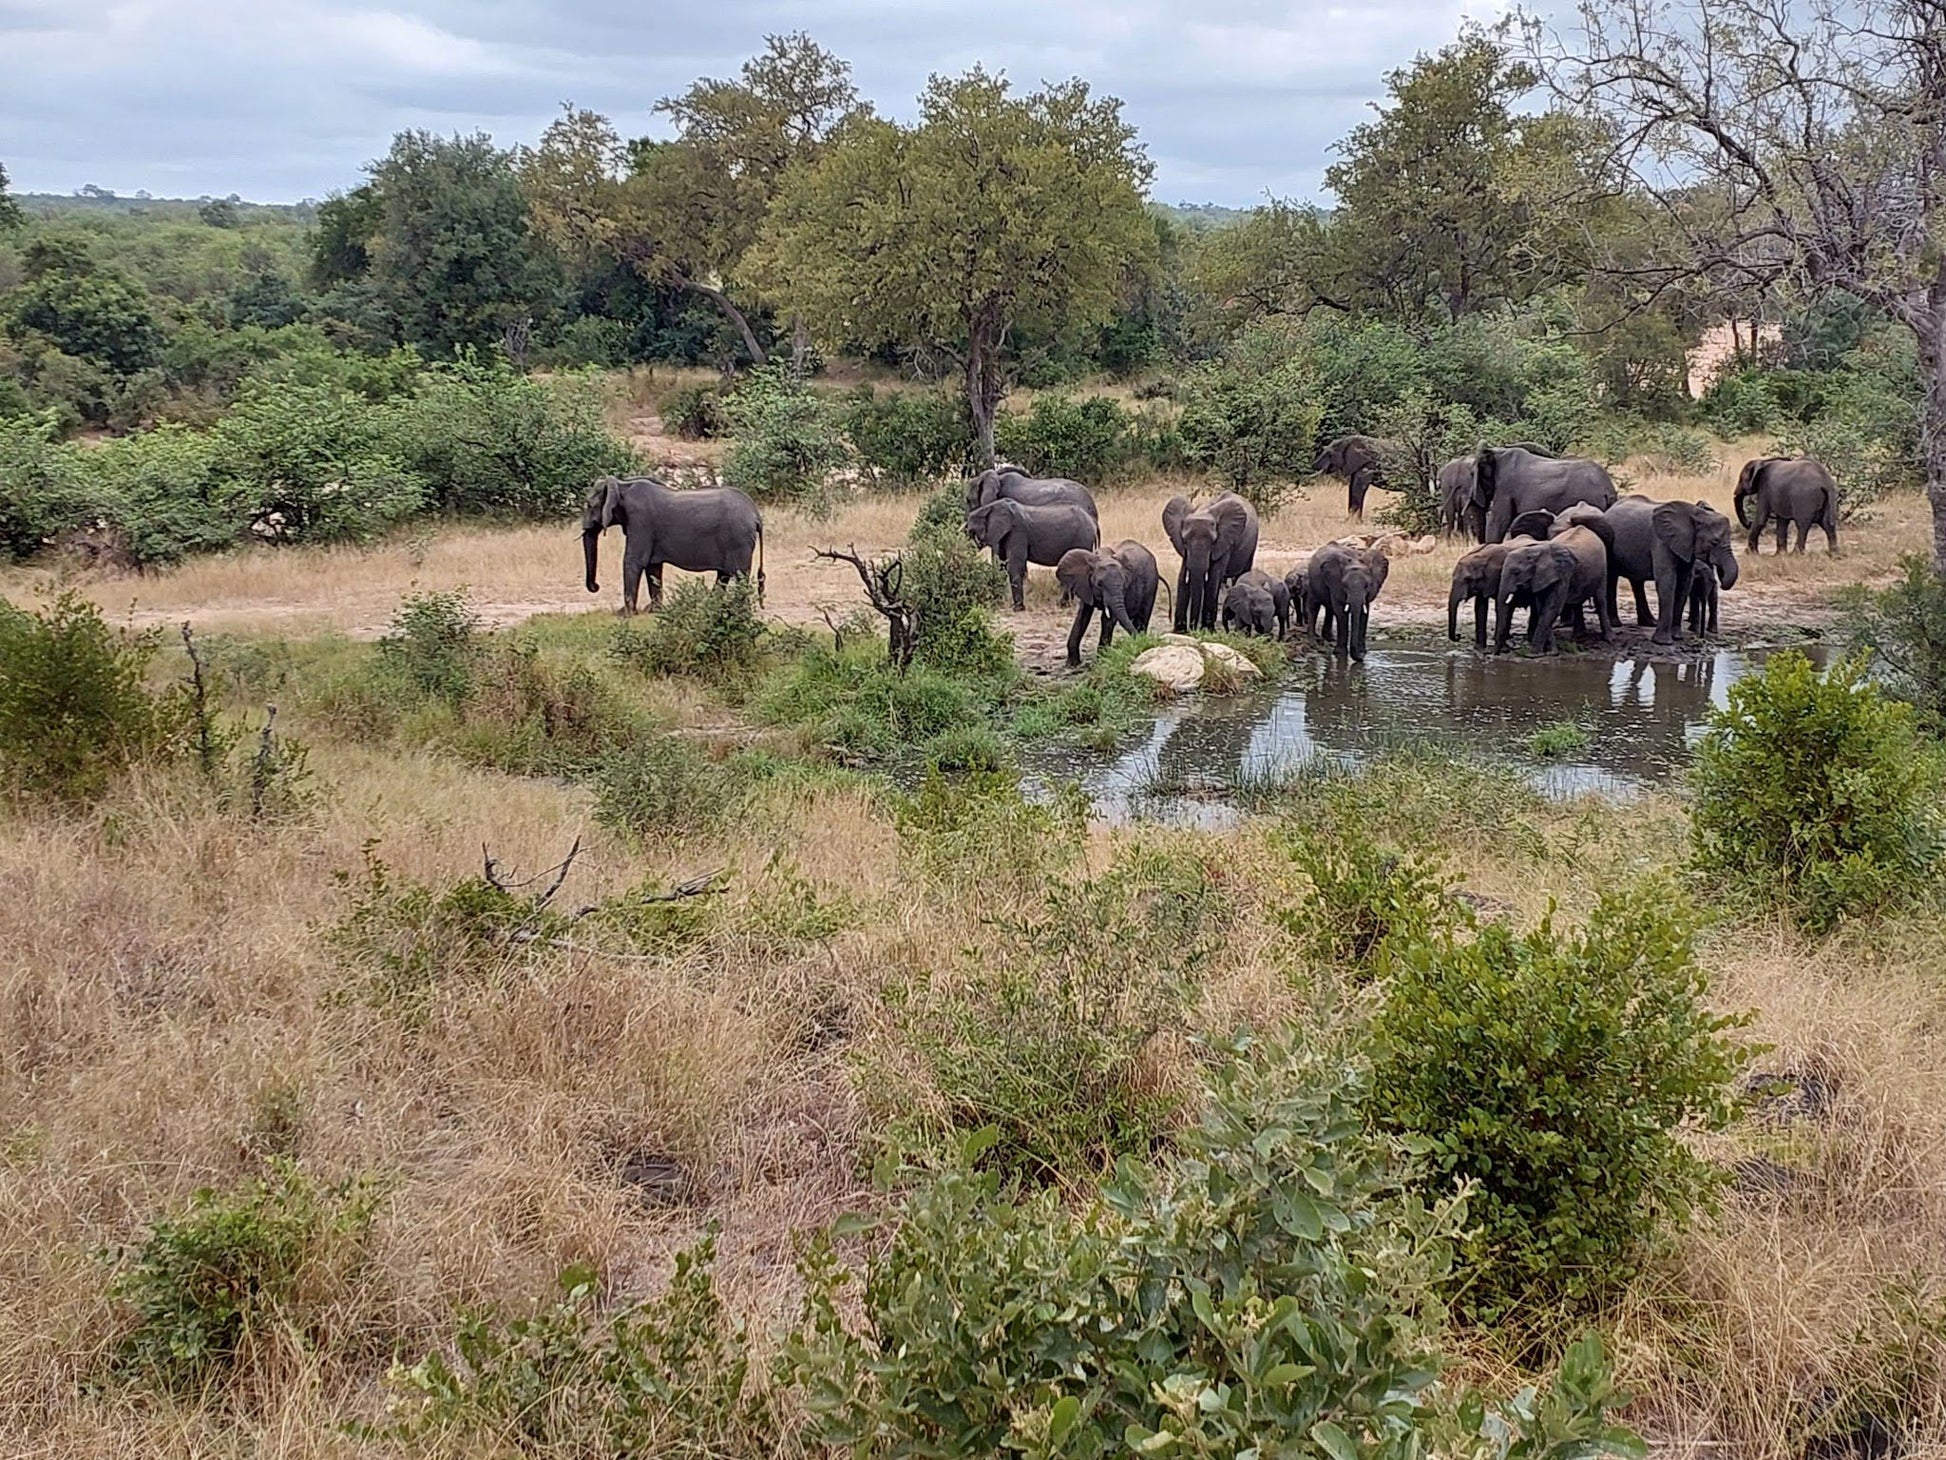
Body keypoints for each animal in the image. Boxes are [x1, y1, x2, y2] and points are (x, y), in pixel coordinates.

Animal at [576, 476, 758, 615]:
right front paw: (654, 612)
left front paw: (626, 614)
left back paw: (740, 612)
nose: (596, 586)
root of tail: (755, 514)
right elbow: (653, 567)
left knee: (739, 576)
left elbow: (634, 561)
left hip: (738, 540)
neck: (623, 485)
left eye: (588, 505)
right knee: (724, 575)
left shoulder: (641, 521)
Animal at [965, 502, 1105, 611]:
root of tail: (1093, 522)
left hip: (1082, 538)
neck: (989, 507)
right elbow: (1001, 565)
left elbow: (1014, 566)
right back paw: (1063, 605)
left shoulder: (1017, 531)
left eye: (971, 532)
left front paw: (1018, 609)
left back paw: (1063, 605)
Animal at [1167, 494, 1261, 630]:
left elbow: (1213, 578)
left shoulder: (1224, 541)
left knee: (1241, 574)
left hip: (1251, 545)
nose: (1192, 628)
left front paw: (1207, 629)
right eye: (1184, 541)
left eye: (1212, 542)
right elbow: (1183, 577)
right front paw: (1180, 631)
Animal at [1494, 525, 1603, 657]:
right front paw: (1551, 651)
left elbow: (1551, 608)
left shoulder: (1563, 573)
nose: (1496, 654)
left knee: (1601, 600)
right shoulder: (1539, 578)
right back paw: (1579, 636)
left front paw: (1534, 654)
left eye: (1516, 572)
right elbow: (1543, 609)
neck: (1534, 552)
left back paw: (1608, 639)